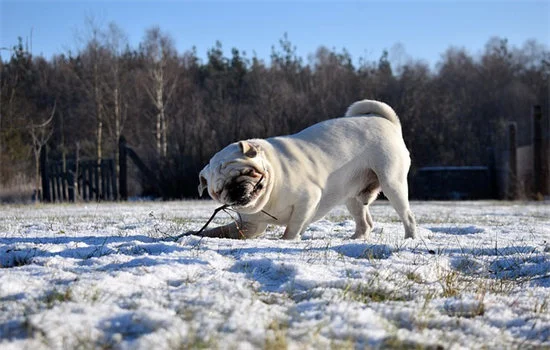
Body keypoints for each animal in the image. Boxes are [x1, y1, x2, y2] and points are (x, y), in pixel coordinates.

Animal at [196, 100, 416, 239]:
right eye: (218, 191)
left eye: (249, 172)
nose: (236, 189)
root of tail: (388, 122)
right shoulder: (250, 226)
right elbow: (221, 231)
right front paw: (195, 234)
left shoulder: (307, 200)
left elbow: (293, 227)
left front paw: (287, 241)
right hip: (352, 197)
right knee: (365, 222)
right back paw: (355, 238)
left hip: (392, 183)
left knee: (408, 216)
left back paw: (409, 238)